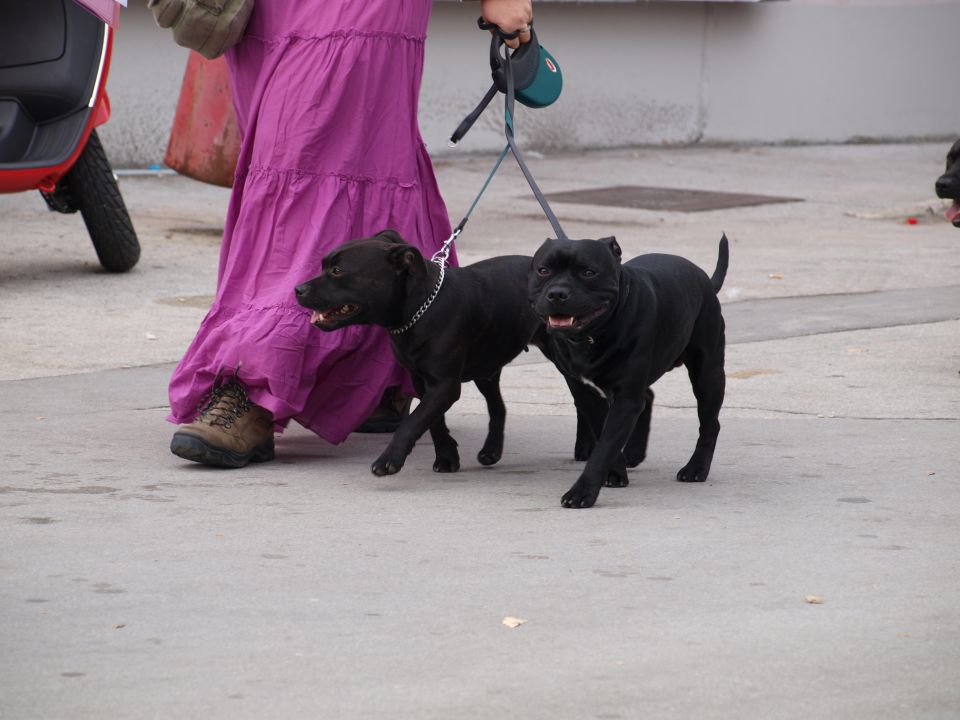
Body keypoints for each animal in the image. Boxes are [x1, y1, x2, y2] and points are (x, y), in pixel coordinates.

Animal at [294, 231, 548, 478]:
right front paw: (447, 456)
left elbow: (413, 421)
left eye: (338, 270)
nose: (298, 289)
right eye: (324, 266)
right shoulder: (421, 381)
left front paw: (389, 460)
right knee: (497, 406)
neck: (419, 310)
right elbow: (433, 421)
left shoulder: (444, 385)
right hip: (486, 367)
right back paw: (491, 450)